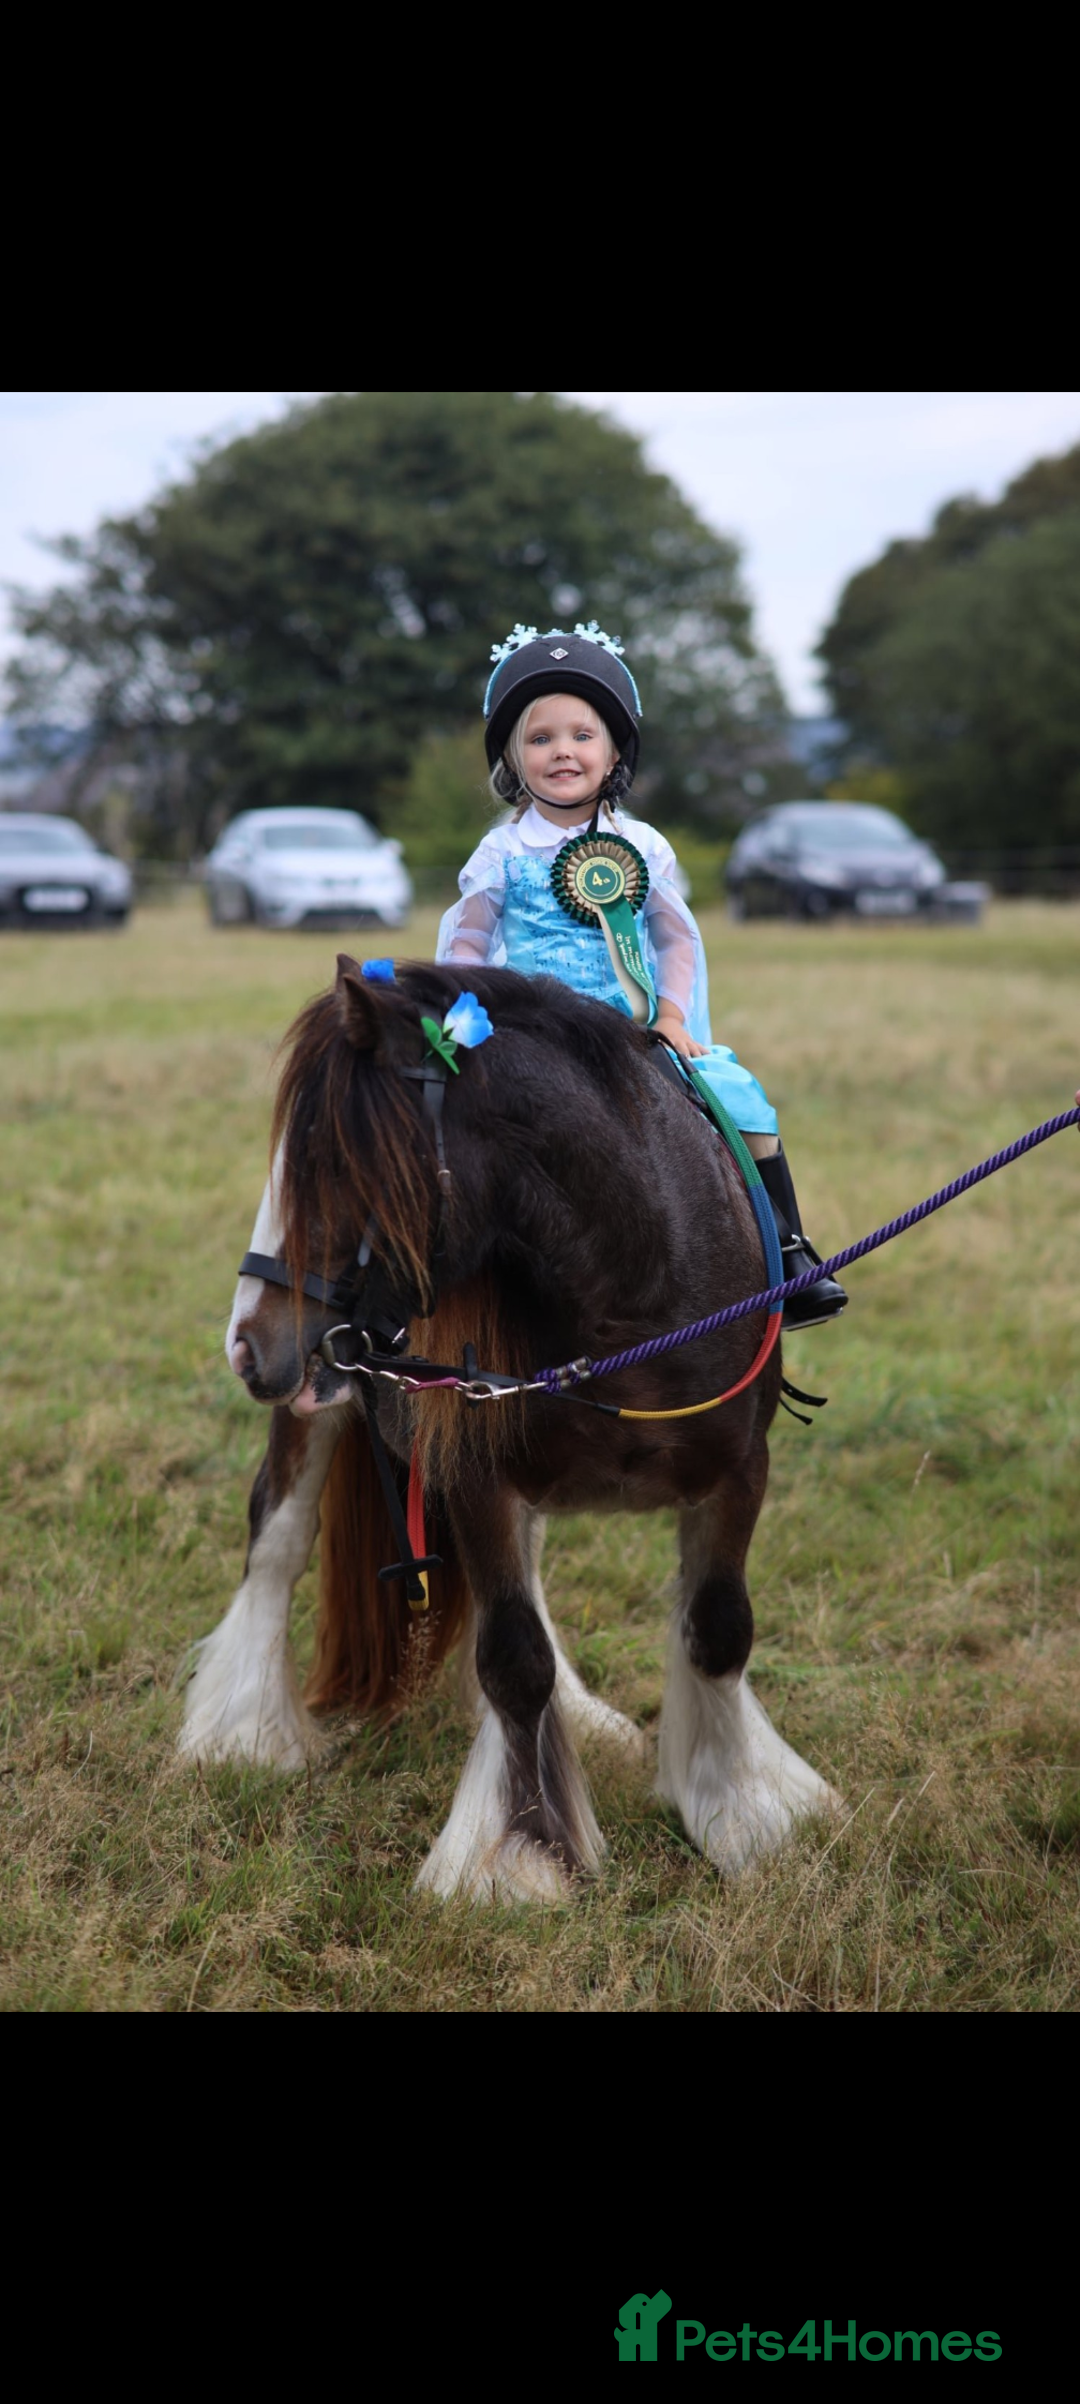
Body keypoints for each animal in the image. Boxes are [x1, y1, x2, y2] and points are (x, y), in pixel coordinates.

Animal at [179, 954, 840, 1901]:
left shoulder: (739, 1467)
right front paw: (517, 1856)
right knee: (277, 1541)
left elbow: (716, 1630)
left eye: (323, 1161)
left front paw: (745, 1814)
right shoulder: (476, 1477)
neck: (632, 1290)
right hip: (320, 1411)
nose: (245, 1342)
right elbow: (513, 1659)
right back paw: (243, 1731)